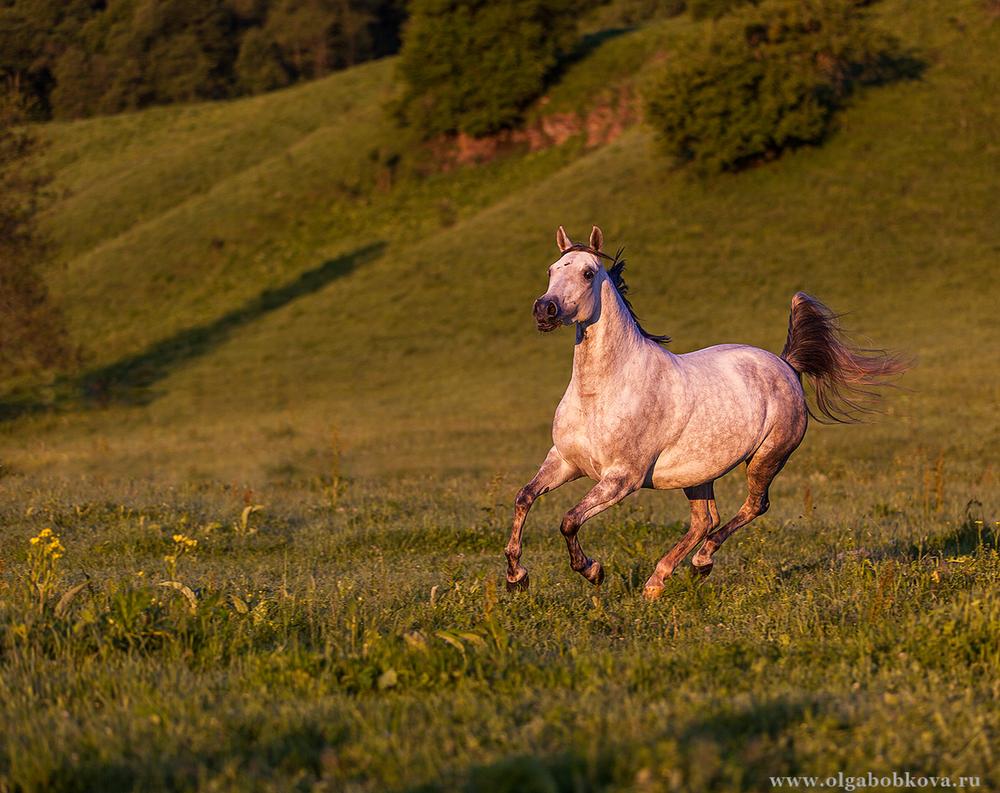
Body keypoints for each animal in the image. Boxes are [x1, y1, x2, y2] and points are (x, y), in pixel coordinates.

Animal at [504, 226, 904, 596]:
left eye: (588, 273)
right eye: (551, 270)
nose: (545, 310)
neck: (601, 393)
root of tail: (786, 365)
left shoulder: (621, 479)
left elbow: (569, 520)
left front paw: (593, 571)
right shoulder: (565, 461)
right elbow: (524, 497)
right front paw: (516, 577)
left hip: (766, 459)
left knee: (753, 507)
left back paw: (699, 562)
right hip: (697, 474)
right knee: (705, 520)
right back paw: (659, 580)